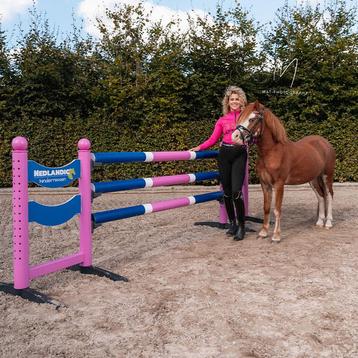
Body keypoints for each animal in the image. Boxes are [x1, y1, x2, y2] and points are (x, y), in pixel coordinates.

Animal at [232, 100, 336, 242]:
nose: (234, 136)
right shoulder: (265, 184)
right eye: (240, 118)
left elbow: (277, 209)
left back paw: (328, 223)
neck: (272, 152)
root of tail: (325, 143)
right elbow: (266, 208)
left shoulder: (279, 184)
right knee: (320, 196)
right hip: (313, 179)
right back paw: (320, 222)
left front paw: (276, 236)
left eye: (252, 119)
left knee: (329, 195)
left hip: (327, 176)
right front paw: (263, 232)